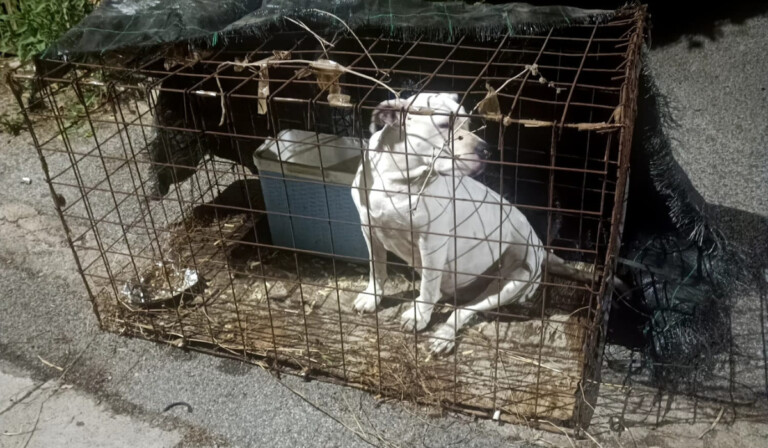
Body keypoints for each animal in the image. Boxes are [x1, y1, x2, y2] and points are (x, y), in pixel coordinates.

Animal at [350, 93, 608, 356]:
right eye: (445, 124)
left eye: (468, 123)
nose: (487, 149)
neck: (398, 181)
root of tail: (540, 246)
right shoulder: (368, 229)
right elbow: (376, 267)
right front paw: (372, 296)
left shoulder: (432, 244)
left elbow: (428, 287)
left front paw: (418, 316)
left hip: (515, 278)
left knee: (462, 309)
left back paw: (443, 336)